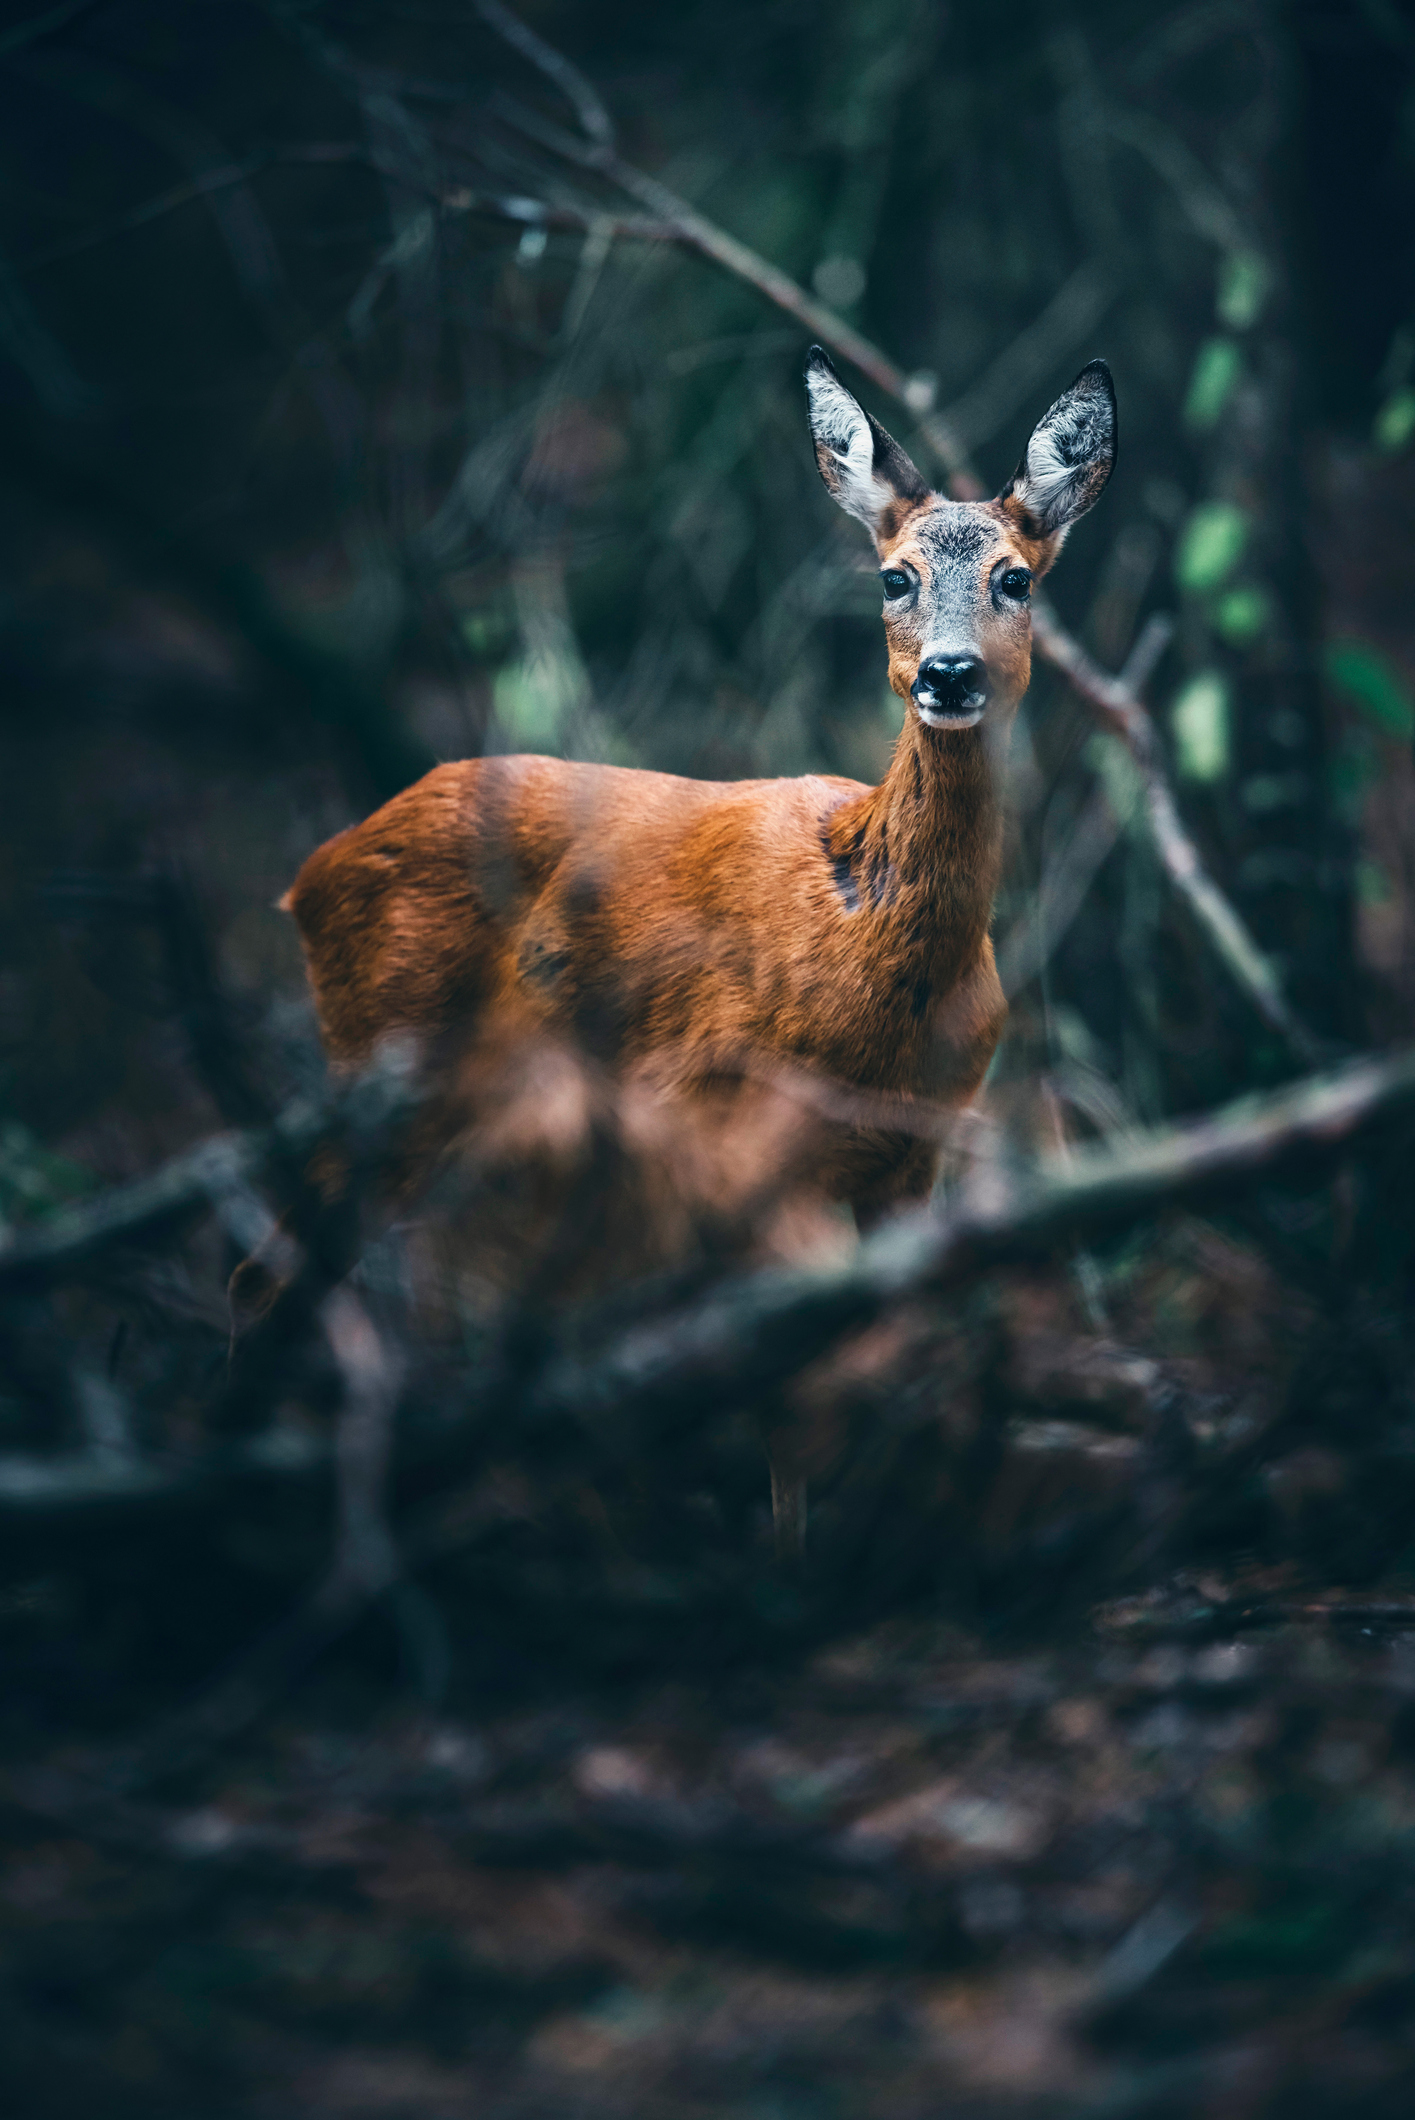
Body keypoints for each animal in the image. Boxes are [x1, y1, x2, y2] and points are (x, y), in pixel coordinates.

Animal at [254, 347, 1116, 1557]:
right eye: (892, 578)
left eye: (1016, 580)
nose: (947, 675)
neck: (877, 966)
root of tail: (310, 874)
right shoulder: (722, 1120)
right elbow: (785, 1373)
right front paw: (791, 1557)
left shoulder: (916, 1150)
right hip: (388, 1060)